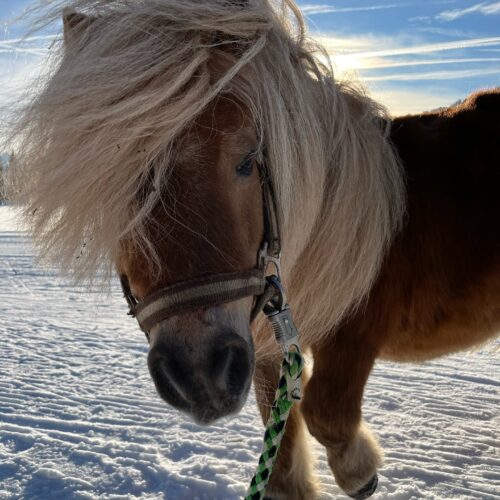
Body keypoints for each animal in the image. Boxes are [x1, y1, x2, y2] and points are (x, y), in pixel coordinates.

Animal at [5, 0, 498, 500]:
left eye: (248, 160)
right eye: (113, 180)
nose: (199, 377)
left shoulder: (353, 335)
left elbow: (326, 414)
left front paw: (360, 471)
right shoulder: (264, 346)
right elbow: (281, 458)